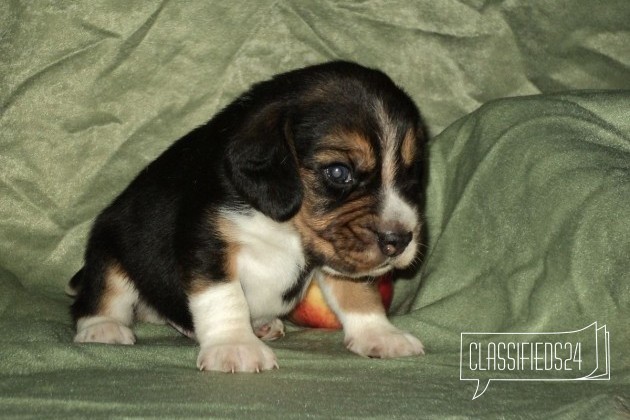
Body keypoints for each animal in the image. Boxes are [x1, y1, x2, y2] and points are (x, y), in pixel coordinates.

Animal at [68, 60, 424, 372]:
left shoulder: (338, 254)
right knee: (100, 297)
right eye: (338, 172)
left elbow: (359, 294)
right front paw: (235, 346)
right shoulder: (208, 244)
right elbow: (225, 299)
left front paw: (381, 334)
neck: (285, 229)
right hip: (110, 245)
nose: (399, 240)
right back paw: (104, 328)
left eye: (409, 173)